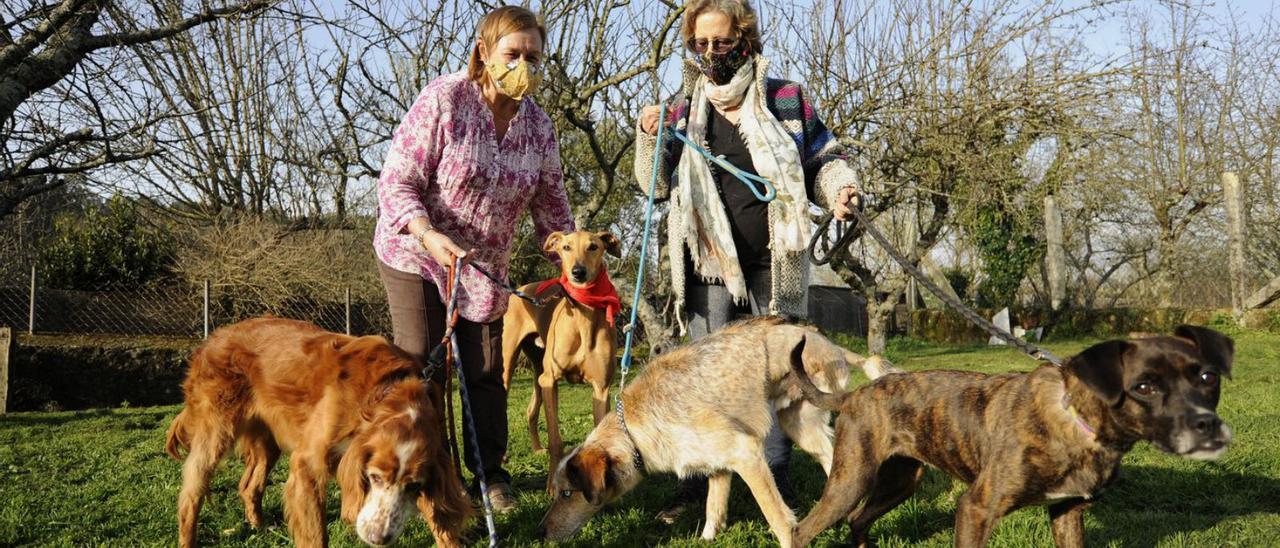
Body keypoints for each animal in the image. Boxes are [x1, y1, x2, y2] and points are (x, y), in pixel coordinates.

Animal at [165, 316, 471, 548]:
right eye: (374, 477)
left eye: (414, 486)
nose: (378, 538)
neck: (384, 393)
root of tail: (214, 337)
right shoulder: (307, 466)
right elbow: (315, 535)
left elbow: (438, 518)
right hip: (215, 434)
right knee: (190, 496)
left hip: (267, 441)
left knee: (249, 486)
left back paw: (260, 527)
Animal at [499, 229, 619, 489]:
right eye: (566, 247)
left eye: (593, 246)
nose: (578, 272)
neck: (583, 316)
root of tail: (522, 289)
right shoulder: (551, 379)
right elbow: (556, 439)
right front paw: (552, 485)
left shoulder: (601, 387)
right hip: (509, 367)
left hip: (537, 371)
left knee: (531, 410)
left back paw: (536, 448)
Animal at [783, 325, 1233, 548]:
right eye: (1144, 387)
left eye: (1208, 378)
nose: (1207, 425)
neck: (1076, 420)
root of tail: (853, 395)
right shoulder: (976, 509)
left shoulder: (1067, 512)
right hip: (851, 479)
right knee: (803, 530)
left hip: (901, 482)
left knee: (858, 520)